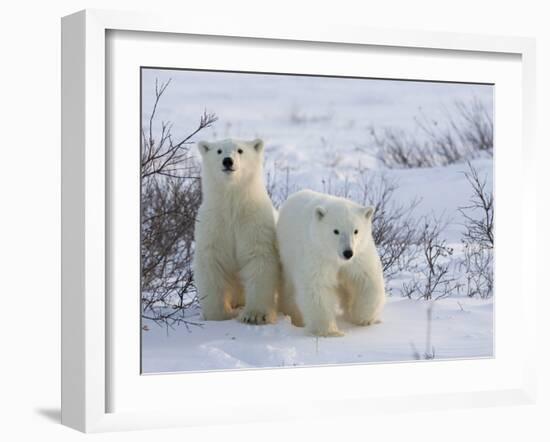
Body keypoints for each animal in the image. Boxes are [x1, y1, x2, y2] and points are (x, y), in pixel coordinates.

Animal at [194, 138, 280, 324]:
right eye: (219, 151)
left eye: (240, 150)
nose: (228, 161)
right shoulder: (214, 224)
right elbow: (211, 263)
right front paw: (220, 314)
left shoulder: (254, 223)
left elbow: (258, 259)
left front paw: (254, 315)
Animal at [278, 188, 386, 336]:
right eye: (336, 231)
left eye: (356, 231)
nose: (348, 252)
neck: (336, 257)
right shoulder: (318, 255)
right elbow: (317, 287)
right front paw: (330, 331)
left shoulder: (359, 255)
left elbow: (367, 280)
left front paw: (363, 318)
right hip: (288, 254)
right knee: (289, 290)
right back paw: (295, 317)